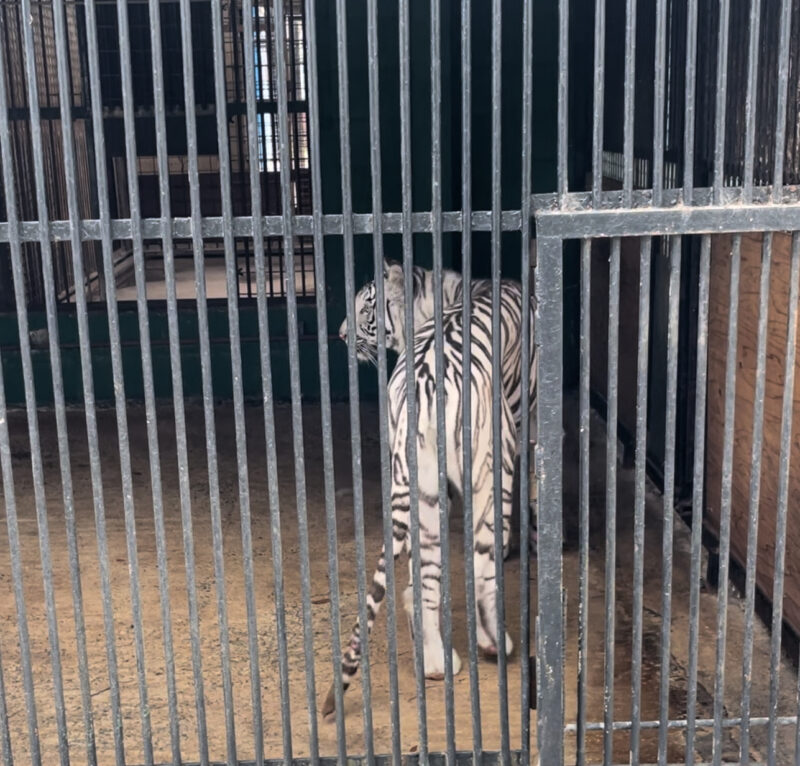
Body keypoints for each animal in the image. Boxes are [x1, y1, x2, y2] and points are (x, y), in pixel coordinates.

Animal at [320, 260, 536, 716]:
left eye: (365, 307)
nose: (343, 334)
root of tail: (421, 387)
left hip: (424, 496)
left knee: (423, 585)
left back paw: (437, 663)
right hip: (489, 477)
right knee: (482, 575)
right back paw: (494, 642)